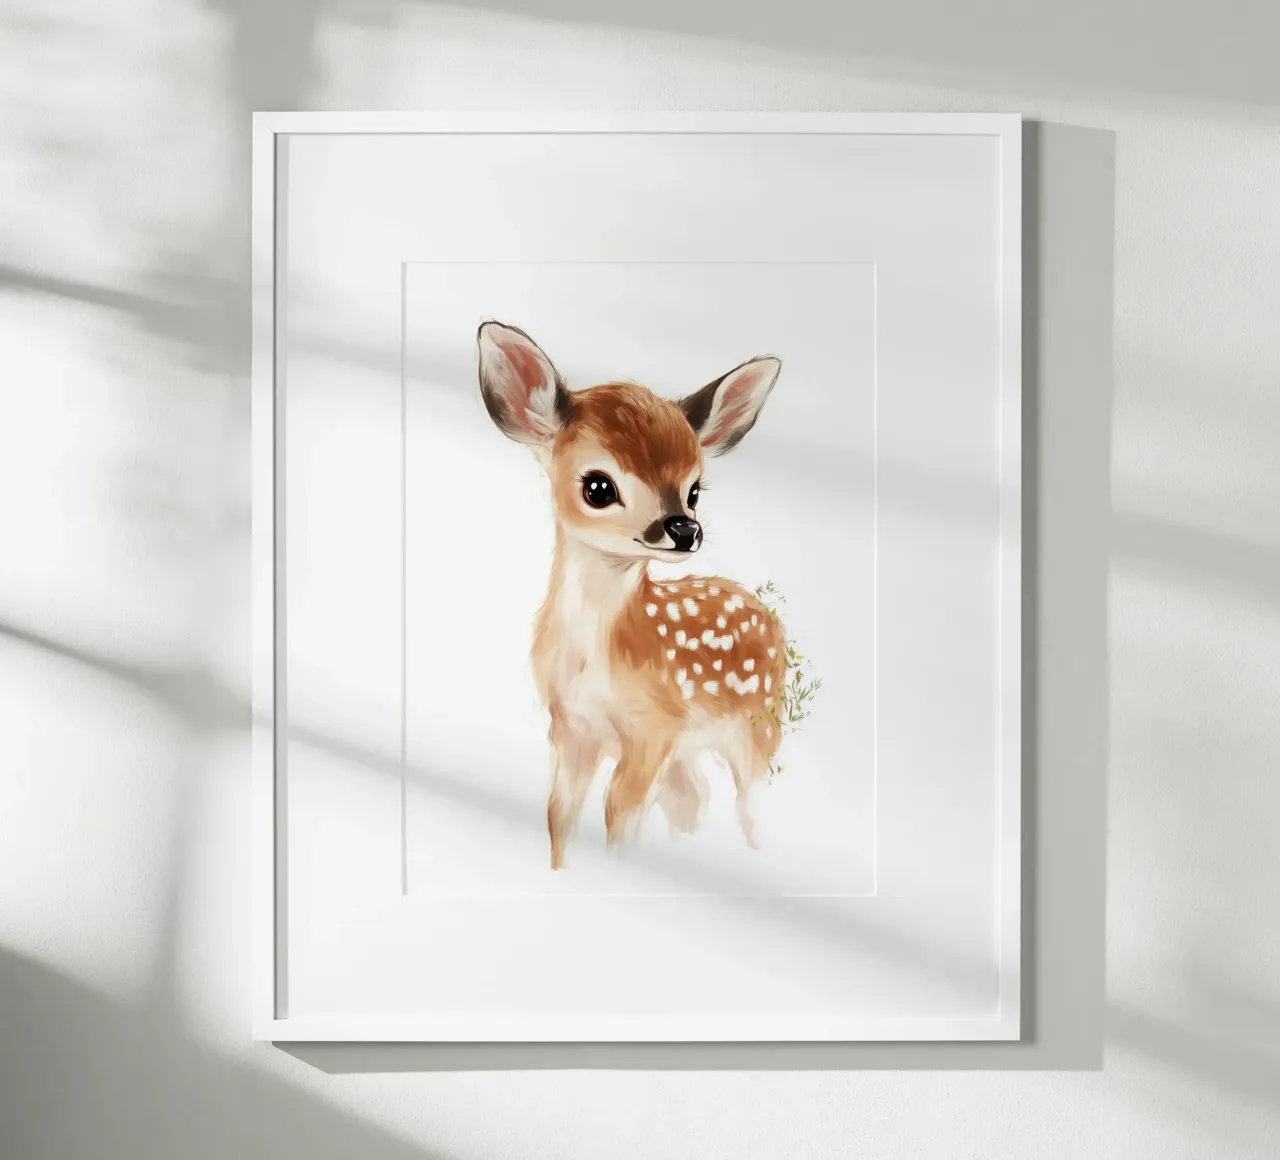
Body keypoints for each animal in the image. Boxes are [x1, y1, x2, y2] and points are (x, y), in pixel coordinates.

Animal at [476, 321, 789, 869]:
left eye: (695, 490)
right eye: (598, 487)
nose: (684, 529)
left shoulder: (653, 729)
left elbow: (617, 819)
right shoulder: (570, 728)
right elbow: (559, 818)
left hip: (758, 727)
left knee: (750, 807)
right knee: (694, 800)